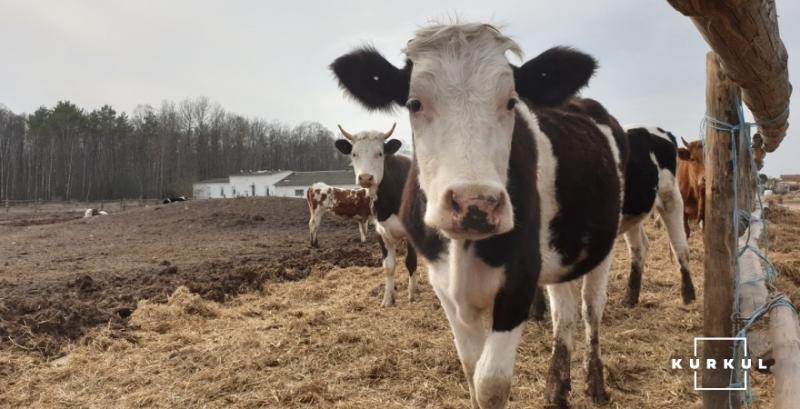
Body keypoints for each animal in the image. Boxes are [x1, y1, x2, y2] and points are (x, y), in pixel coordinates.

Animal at [332, 122, 418, 304]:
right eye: (354, 154)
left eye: (379, 153)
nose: (365, 178)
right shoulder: (381, 231)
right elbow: (389, 266)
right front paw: (388, 299)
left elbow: (411, 261)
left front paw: (412, 295)